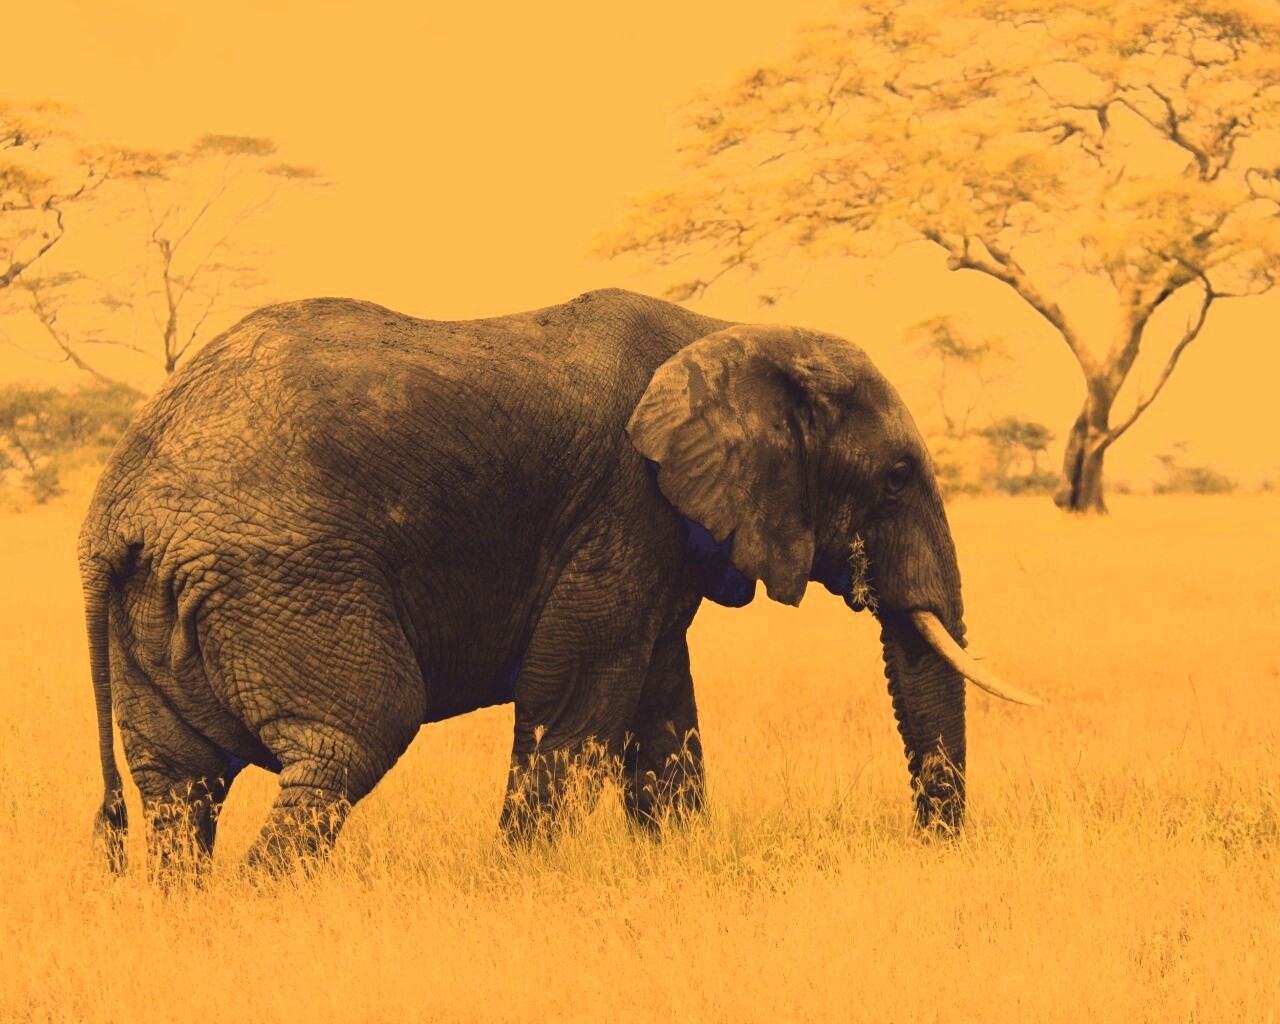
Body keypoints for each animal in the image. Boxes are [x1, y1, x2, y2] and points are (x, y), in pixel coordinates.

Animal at [79, 287, 1039, 873]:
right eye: (896, 478)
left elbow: (660, 704)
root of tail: (114, 511)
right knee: (352, 736)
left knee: (180, 785)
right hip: (284, 575)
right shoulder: (623, 504)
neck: (726, 331)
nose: (930, 850)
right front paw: (519, 879)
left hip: (165, 602)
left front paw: (673, 865)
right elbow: (576, 693)